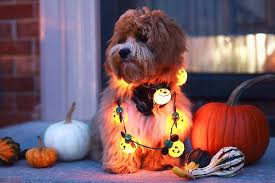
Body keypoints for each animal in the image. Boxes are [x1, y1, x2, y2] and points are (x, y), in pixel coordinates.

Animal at [92, 6, 192, 173]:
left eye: (142, 37)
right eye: (122, 40)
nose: (123, 51)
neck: (145, 91)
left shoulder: (164, 122)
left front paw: (161, 162)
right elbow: (119, 143)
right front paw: (121, 165)